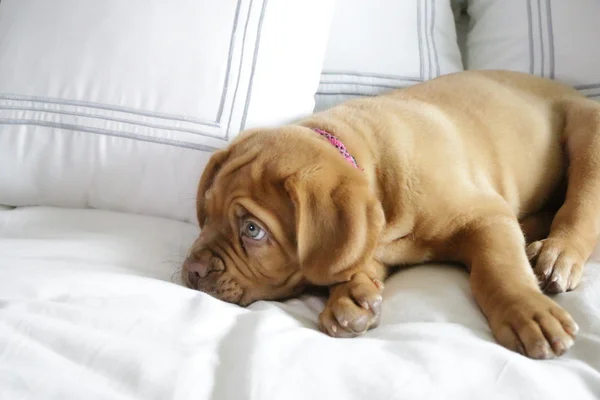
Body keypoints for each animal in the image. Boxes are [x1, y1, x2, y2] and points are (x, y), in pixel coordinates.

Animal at [182, 70, 600, 360]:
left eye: (252, 230)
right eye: (207, 215)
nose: (192, 271)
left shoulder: (487, 215)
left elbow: (498, 268)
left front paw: (527, 311)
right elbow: (352, 260)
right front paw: (352, 296)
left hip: (588, 138)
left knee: (581, 206)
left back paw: (557, 254)